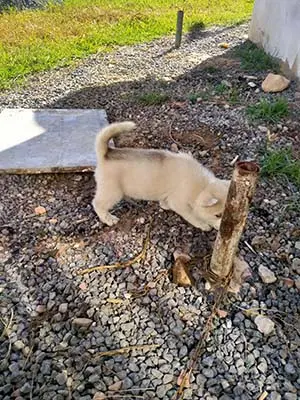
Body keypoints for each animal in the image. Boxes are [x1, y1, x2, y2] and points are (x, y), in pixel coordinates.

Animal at [93, 122, 230, 231]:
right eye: (218, 215)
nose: (223, 229)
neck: (202, 186)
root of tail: (105, 154)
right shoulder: (180, 204)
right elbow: (192, 216)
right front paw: (203, 225)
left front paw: (164, 205)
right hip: (112, 193)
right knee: (97, 204)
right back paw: (108, 219)